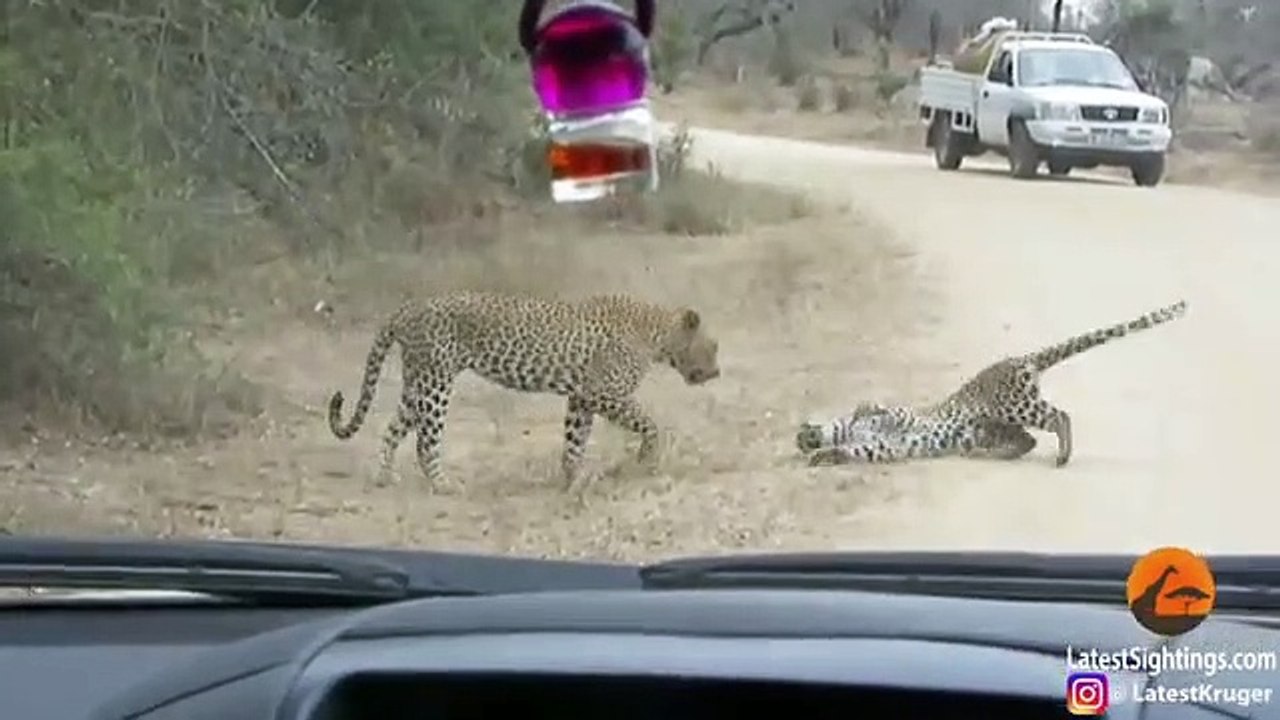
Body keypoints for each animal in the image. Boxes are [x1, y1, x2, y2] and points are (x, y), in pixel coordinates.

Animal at [328, 290, 720, 492]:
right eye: (713, 346)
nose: (717, 372)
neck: (658, 335)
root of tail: (407, 307)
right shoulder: (604, 393)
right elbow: (649, 423)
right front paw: (646, 458)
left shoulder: (581, 397)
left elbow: (575, 440)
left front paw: (573, 478)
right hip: (435, 383)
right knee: (427, 441)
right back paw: (443, 483)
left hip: (419, 383)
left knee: (393, 428)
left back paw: (384, 476)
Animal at [795, 299, 1188, 468]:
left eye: (803, 434)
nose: (804, 438)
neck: (845, 431)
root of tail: (1022, 358)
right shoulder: (884, 448)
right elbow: (859, 449)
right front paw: (824, 455)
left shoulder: (897, 419)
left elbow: (881, 412)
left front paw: (860, 415)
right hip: (1003, 422)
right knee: (1030, 438)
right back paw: (998, 453)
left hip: (1014, 405)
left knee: (1060, 416)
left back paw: (1061, 456)